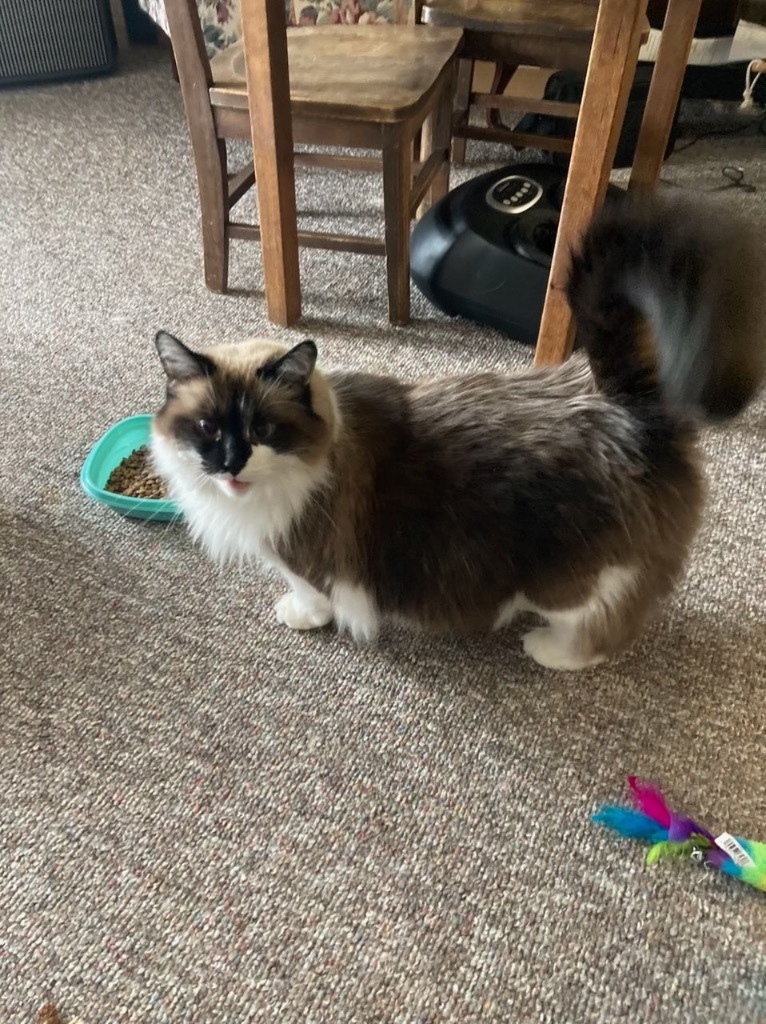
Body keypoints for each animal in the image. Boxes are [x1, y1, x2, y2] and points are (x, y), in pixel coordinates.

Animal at [152, 192, 761, 671]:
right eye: (207, 428)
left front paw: (299, 616)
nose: (230, 463)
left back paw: (549, 648)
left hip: (573, 579)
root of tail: (626, 405)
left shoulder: (305, 559)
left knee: (603, 629)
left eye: (262, 428)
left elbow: (310, 595)